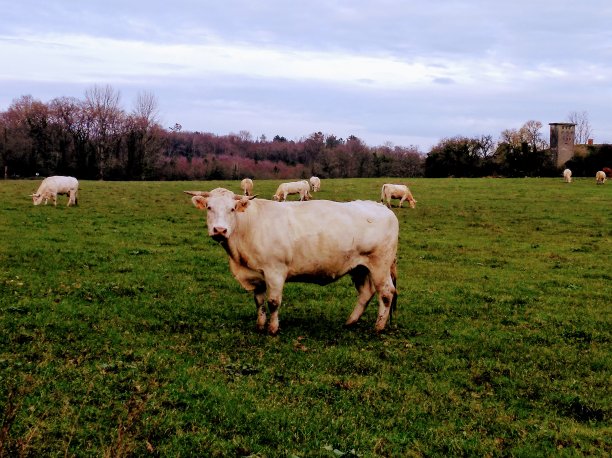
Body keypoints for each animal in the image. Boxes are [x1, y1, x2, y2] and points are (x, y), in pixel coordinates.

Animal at [184, 188, 400, 334]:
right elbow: (259, 301)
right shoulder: (256, 274)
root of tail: (381, 206)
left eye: (232, 209)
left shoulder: (275, 271)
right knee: (366, 293)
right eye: (209, 208)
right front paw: (260, 325)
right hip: (360, 268)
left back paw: (378, 326)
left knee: (386, 293)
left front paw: (272, 329)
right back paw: (350, 322)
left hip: (380, 265)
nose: (220, 230)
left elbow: (273, 302)